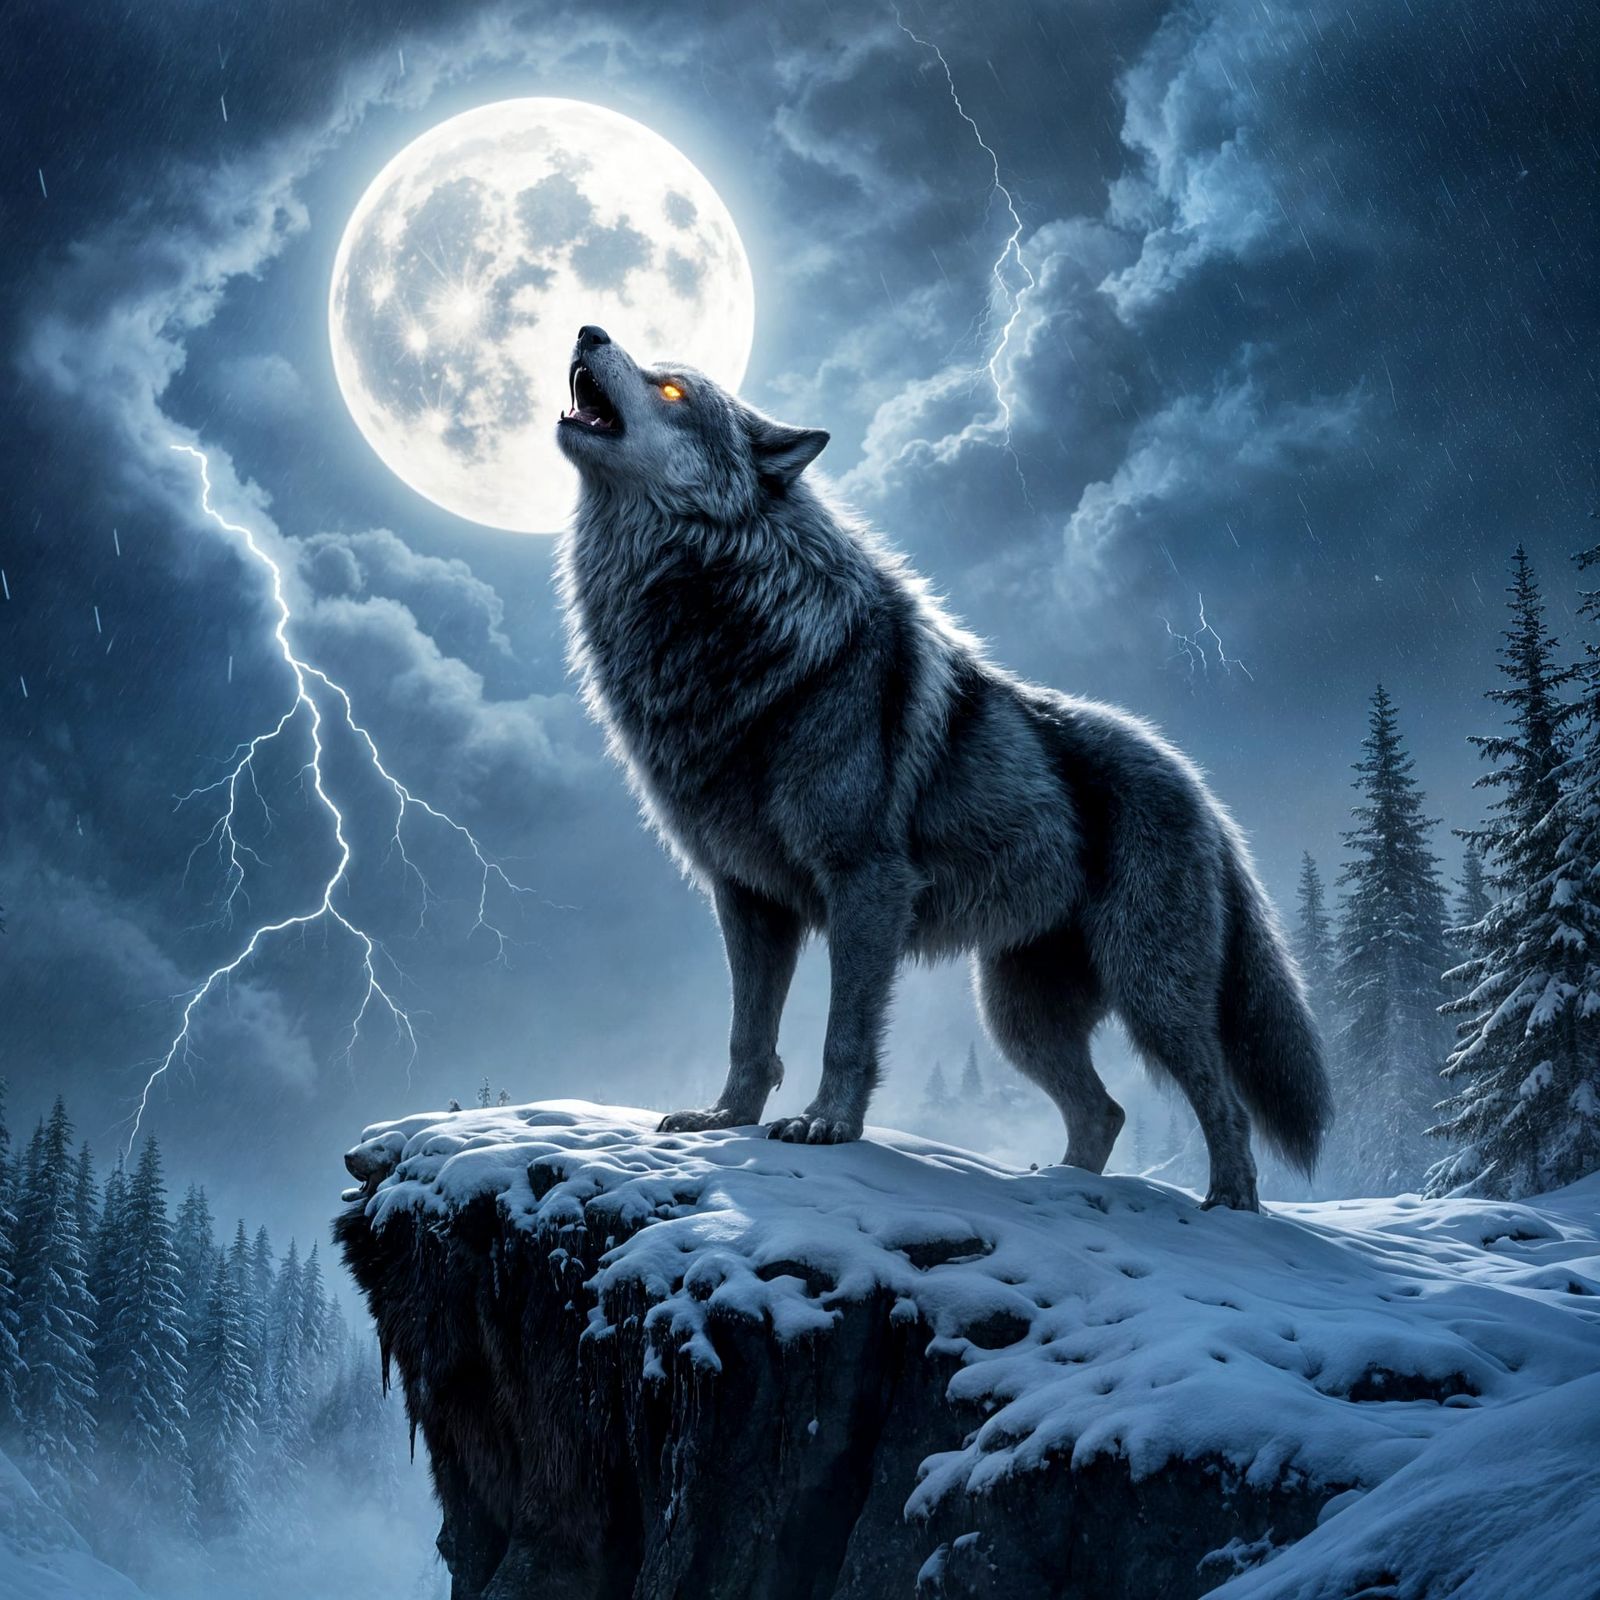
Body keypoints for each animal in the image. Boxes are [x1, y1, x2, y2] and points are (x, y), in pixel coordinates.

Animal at [554, 325, 1330, 1209]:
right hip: (1018, 1016)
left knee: (1221, 1102)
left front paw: (826, 1125)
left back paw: (1229, 1205)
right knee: (1105, 1112)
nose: (587, 330)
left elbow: (845, 1032)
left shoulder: (866, 884)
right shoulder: (747, 898)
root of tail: (1204, 792)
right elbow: (748, 1035)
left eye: (674, 390)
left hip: (1150, 993)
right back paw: (1062, 1188)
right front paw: (724, 1120)